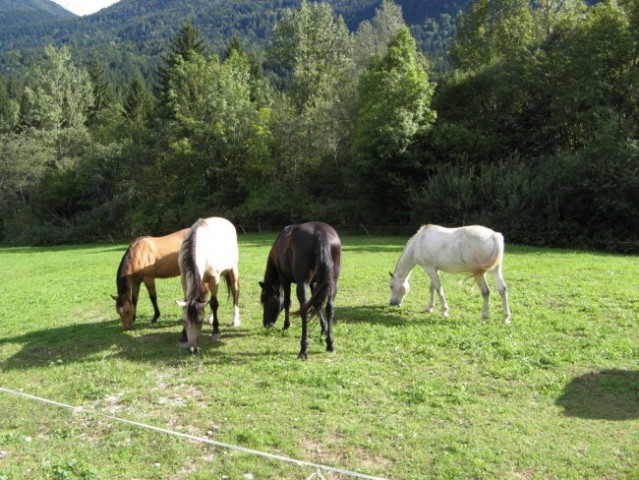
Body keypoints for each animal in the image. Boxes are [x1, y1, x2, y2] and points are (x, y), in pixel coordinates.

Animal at [176, 218, 241, 352]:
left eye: (200, 321)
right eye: (184, 320)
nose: (192, 349)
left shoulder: (214, 280)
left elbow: (214, 304)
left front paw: (216, 332)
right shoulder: (184, 280)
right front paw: (183, 337)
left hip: (233, 270)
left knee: (235, 293)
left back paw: (235, 320)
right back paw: (211, 319)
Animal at [258, 219, 342, 358]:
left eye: (268, 301)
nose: (266, 324)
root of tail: (321, 234)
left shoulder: (285, 280)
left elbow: (287, 303)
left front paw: (286, 326)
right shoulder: (315, 283)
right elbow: (317, 304)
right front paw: (323, 329)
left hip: (303, 283)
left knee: (304, 308)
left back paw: (303, 349)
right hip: (332, 282)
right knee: (329, 307)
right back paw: (330, 344)